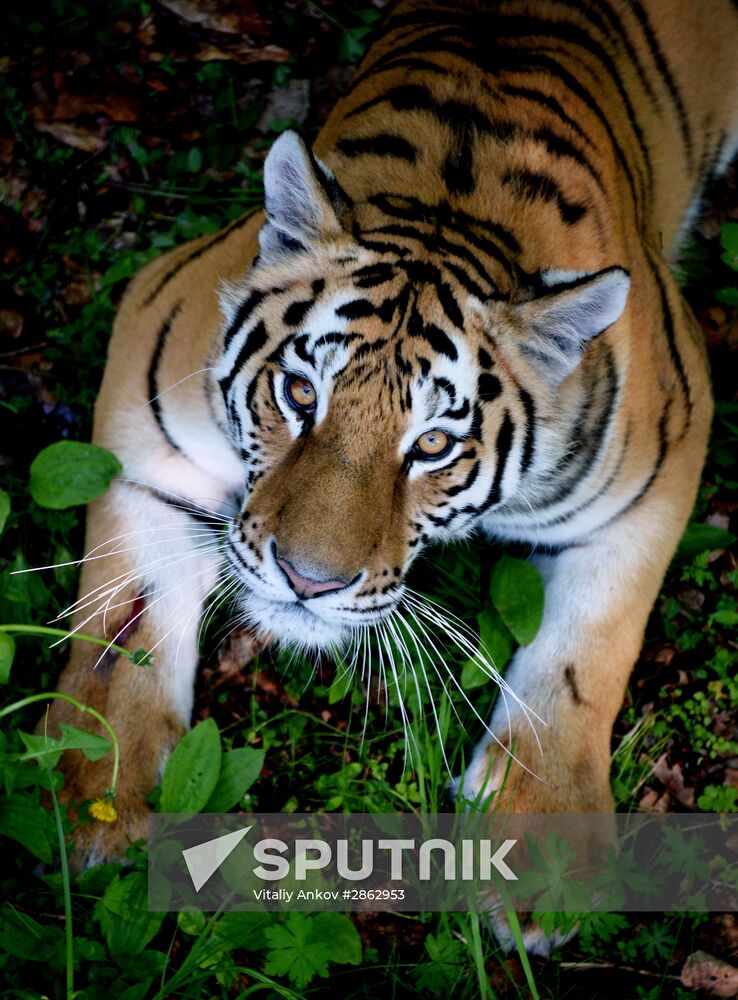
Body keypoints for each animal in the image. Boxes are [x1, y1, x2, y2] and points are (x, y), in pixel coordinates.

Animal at [49, 0, 732, 920]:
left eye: (433, 444)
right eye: (300, 393)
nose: (307, 583)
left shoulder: (663, 451)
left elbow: (591, 642)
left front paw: (544, 855)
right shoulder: (152, 375)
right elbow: (126, 616)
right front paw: (89, 790)